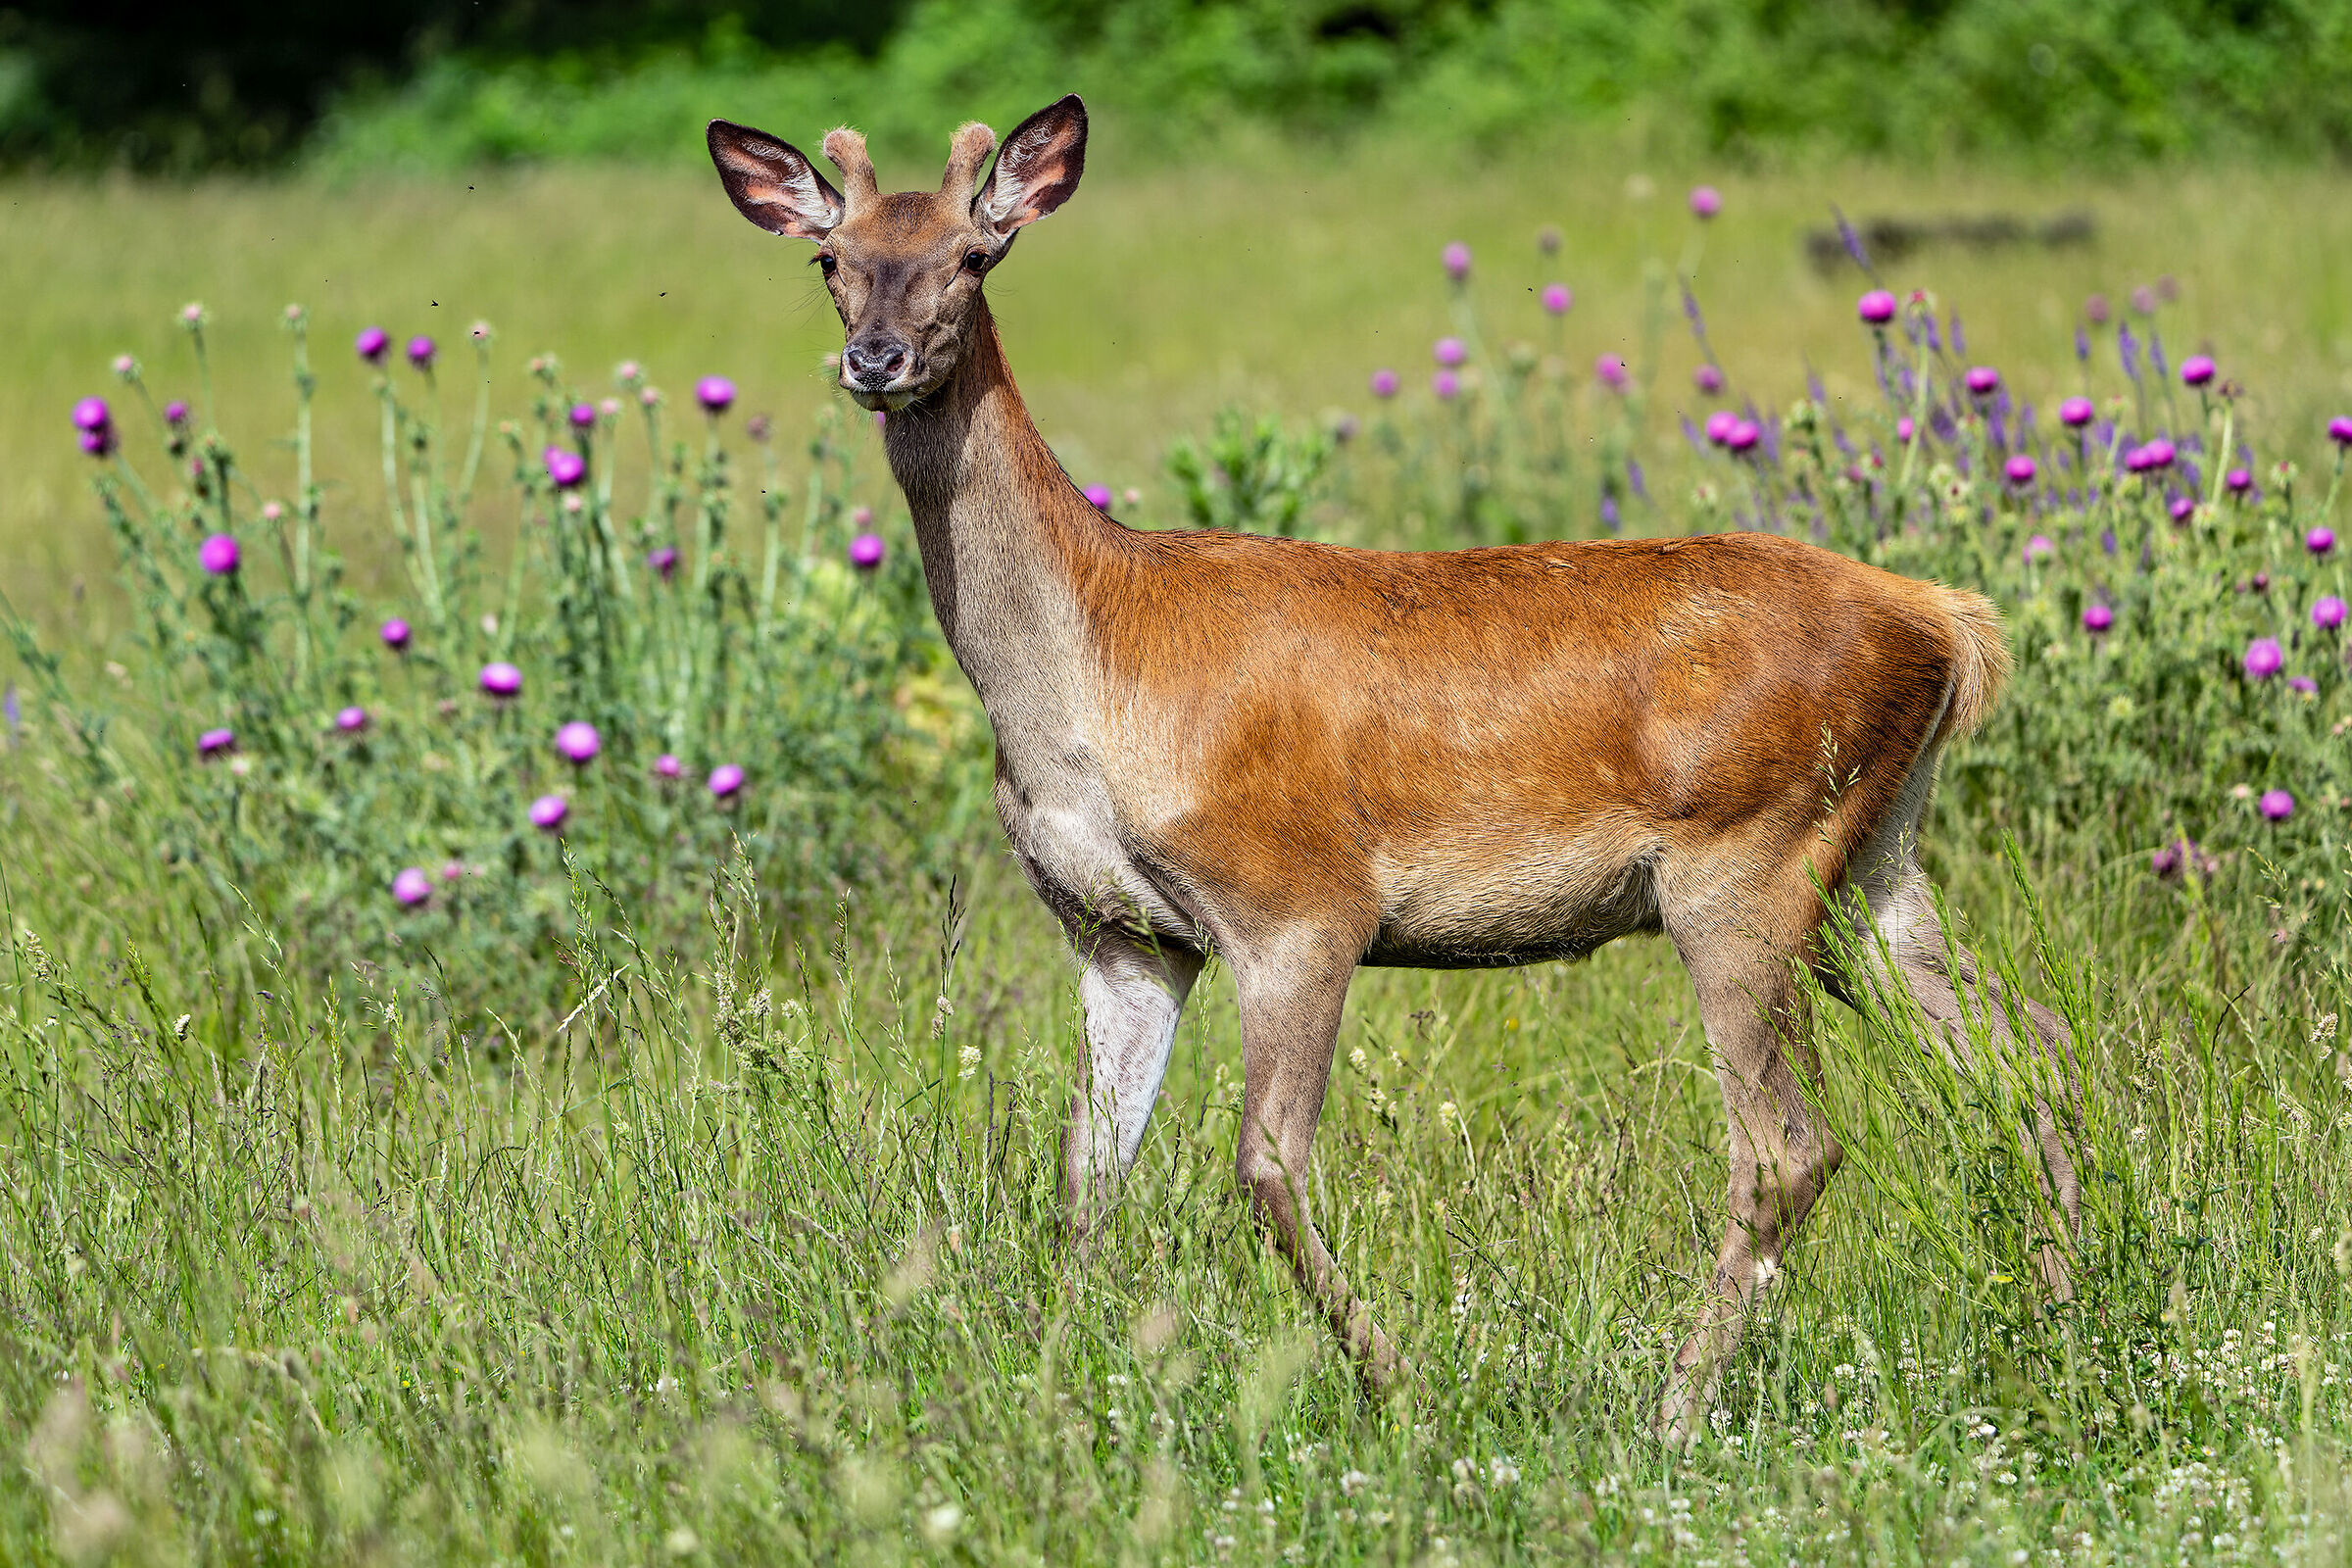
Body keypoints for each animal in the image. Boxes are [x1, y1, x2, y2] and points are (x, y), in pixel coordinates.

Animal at [705, 95, 2084, 1438]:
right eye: (832, 259)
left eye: (973, 255)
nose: (876, 359)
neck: (1090, 682)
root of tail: (1948, 622)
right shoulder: (1120, 933)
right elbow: (1089, 1178)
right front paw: (1045, 1393)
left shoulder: (1297, 900)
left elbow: (1264, 1168)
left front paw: (1400, 1389)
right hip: (1871, 859)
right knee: (2027, 1040)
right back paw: (2063, 1317)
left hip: (1747, 856)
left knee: (1790, 1144)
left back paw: (1677, 1409)